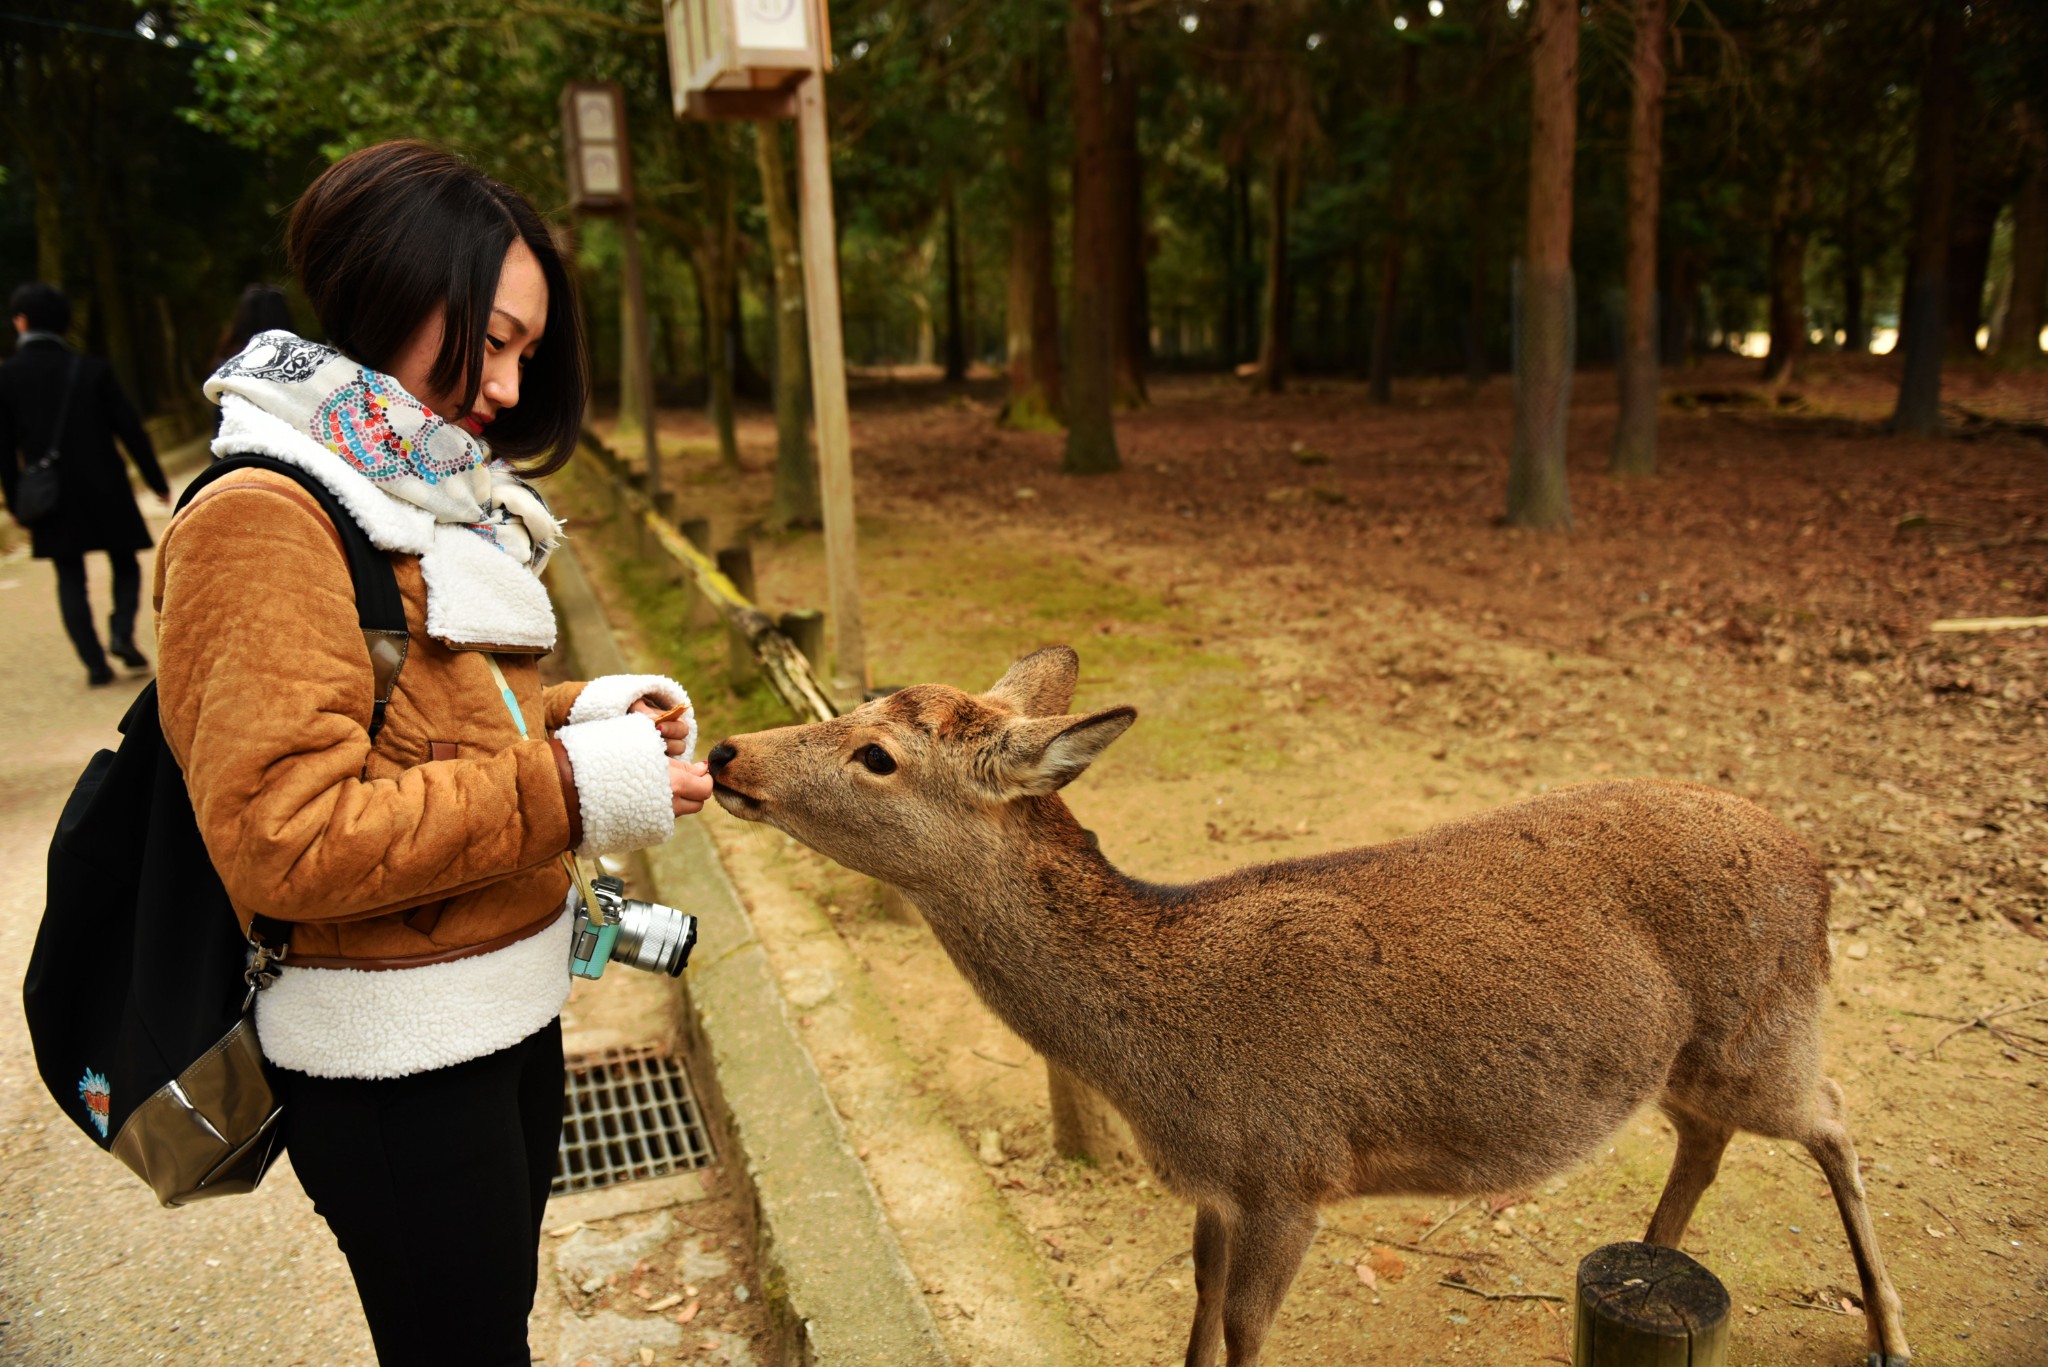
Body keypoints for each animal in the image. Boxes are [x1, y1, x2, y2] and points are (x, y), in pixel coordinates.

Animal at [712, 647, 1908, 1360]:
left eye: (876, 753)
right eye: (857, 705)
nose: (725, 750)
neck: (1160, 1066)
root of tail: (1820, 871)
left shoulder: (1293, 1169)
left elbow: (1244, 1331)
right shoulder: (1212, 1188)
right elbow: (1195, 1311)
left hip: (1768, 1029)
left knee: (1837, 1114)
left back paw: (1888, 1327)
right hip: (1688, 1060)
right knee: (1708, 1136)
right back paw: (1643, 1258)